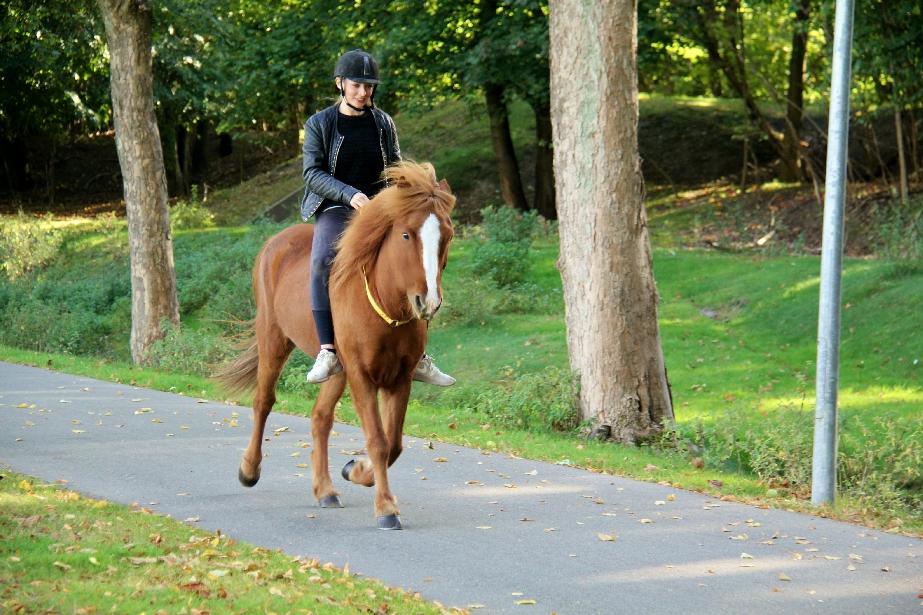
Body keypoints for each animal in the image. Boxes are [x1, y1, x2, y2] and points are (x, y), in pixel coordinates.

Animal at [217, 162, 454, 528]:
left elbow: (394, 443)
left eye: (447, 235)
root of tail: (275, 242)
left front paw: (356, 470)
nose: (427, 302)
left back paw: (325, 490)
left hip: (336, 371)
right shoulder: (361, 376)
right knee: (263, 401)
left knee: (320, 418)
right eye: (405, 235)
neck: (384, 305)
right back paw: (248, 470)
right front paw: (386, 509)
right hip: (273, 339)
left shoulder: (399, 379)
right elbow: (378, 440)